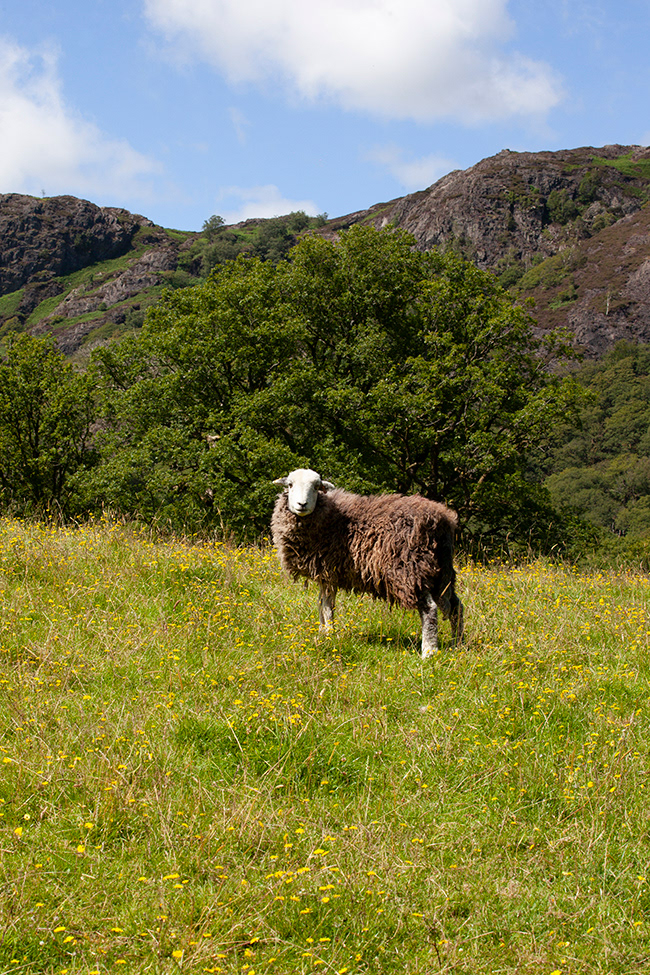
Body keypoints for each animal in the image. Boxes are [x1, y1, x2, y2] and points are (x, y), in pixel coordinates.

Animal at [271, 468, 463, 658]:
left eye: (317, 487)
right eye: (290, 484)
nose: (302, 505)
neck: (329, 517)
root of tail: (442, 520)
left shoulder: (329, 570)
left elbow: (327, 606)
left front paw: (329, 635)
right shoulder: (325, 574)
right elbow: (321, 603)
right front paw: (322, 633)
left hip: (410, 570)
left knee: (430, 609)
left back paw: (429, 651)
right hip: (441, 572)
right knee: (455, 606)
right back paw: (457, 644)